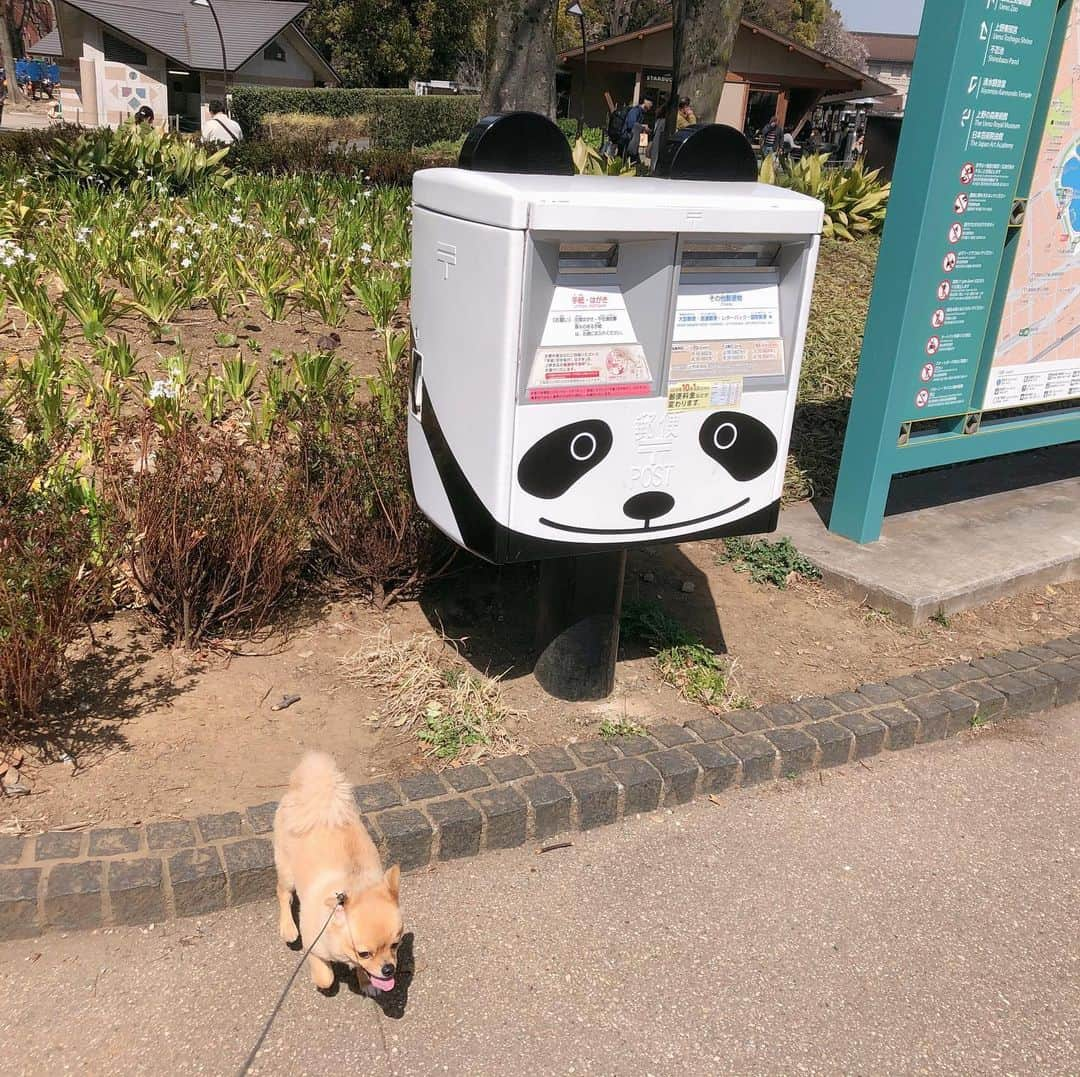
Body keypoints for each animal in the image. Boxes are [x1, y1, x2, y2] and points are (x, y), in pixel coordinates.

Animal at [272, 747, 403, 993]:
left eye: (395, 945)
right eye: (364, 953)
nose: (388, 969)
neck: (355, 883)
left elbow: (364, 972)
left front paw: (365, 981)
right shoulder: (313, 945)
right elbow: (326, 976)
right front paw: (322, 981)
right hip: (287, 870)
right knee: (283, 893)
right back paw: (288, 928)